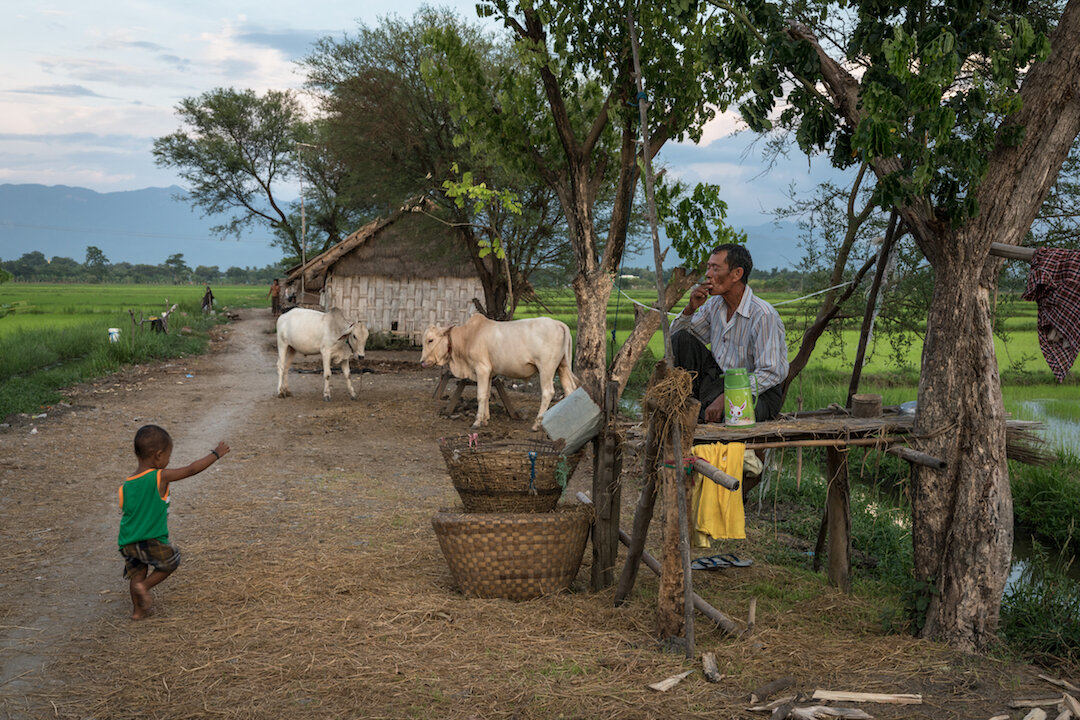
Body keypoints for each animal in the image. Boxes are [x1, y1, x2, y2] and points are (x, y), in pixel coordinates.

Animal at [416, 313, 578, 427]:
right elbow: (487, 394)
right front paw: (485, 419)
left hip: (546, 369)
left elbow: (481, 395)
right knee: (569, 390)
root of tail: (558, 323)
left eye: (430, 340)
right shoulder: (490, 373)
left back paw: (537, 424)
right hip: (562, 367)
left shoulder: (482, 369)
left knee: (548, 392)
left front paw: (477, 422)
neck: (468, 336)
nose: (422, 362)